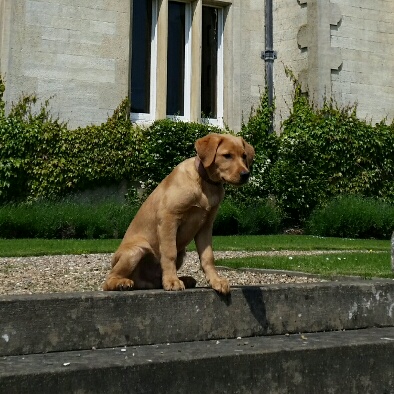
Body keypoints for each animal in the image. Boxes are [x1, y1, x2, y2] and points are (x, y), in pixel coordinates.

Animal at [102, 134, 255, 294]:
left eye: (244, 156)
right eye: (227, 155)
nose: (246, 174)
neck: (205, 184)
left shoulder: (206, 226)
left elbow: (208, 257)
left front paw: (216, 281)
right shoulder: (169, 218)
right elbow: (169, 253)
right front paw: (172, 281)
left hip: (181, 253)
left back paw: (184, 279)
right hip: (135, 251)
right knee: (108, 280)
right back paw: (122, 283)